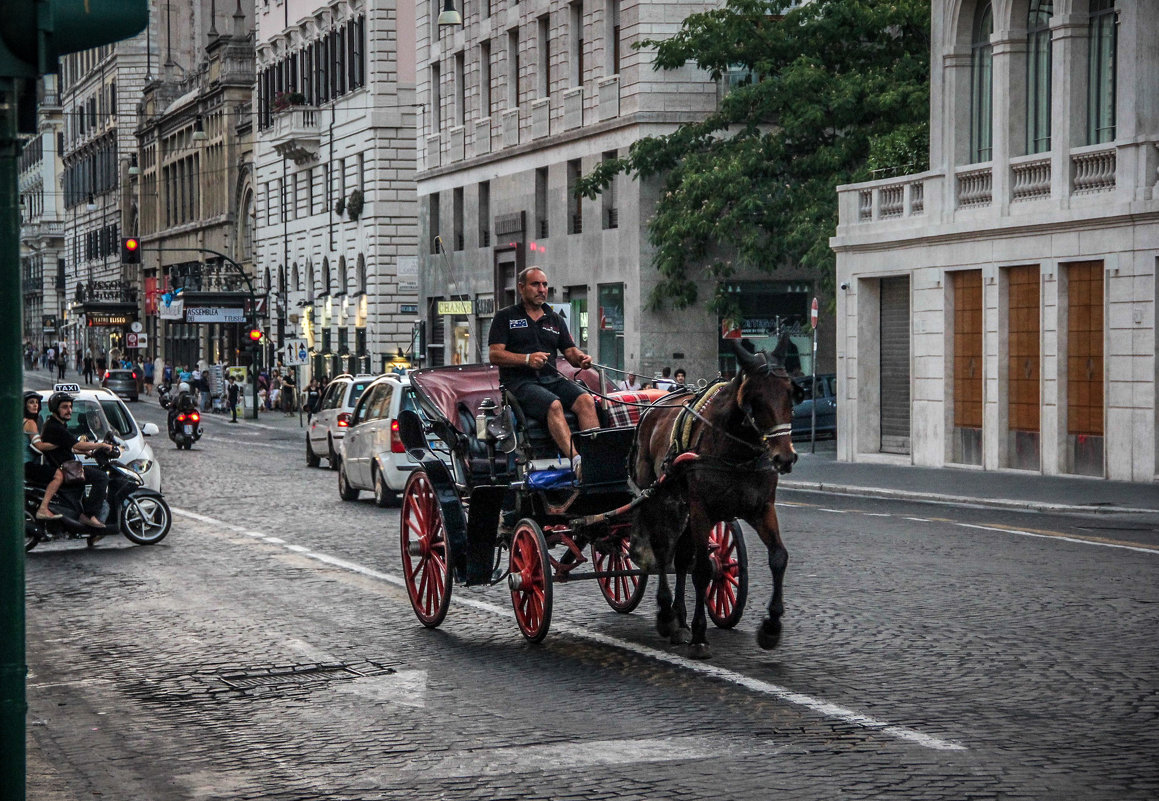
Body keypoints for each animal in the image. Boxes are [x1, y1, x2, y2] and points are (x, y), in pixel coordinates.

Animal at [630, 336, 802, 663]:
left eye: (790, 392)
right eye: (755, 399)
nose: (784, 457)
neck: (736, 450)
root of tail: (652, 408)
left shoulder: (761, 508)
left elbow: (779, 557)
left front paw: (771, 627)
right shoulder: (702, 510)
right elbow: (701, 569)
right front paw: (699, 636)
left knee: (681, 557)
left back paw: (679, 620)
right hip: (654, 495)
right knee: (662, 550)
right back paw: (667, 615)